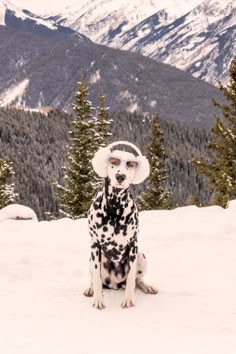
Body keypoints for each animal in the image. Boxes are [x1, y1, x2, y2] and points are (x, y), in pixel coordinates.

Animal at [84, 142, 158, 310]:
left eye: (130, 164)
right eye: (114, 161)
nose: (120, 176)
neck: (115, 207)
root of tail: (114, 284)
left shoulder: (133, 245)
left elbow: (131, 278)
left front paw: (129, 299)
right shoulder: (95, 245)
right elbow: (96, 279)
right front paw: (98, 299)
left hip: (141, 256)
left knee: (137, 279)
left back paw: (147, 286)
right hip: (91, 260)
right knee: (94, 278)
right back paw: (90, 289)